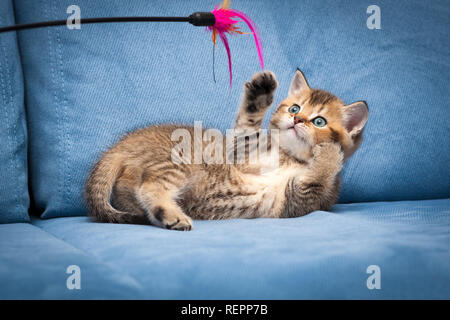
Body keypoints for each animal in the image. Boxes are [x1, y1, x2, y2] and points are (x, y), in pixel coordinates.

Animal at [85, 69, 370, 230]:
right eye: (294, 108)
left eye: (319, 121)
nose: (297, 120)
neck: (289, 157)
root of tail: (123, 143)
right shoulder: (241, 152)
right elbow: (248, 125)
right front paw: (260, 91)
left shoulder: (299, 200)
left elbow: (319, 173)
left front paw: (330, 150)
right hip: (180, 160)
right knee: (149, 186)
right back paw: (171, 214)